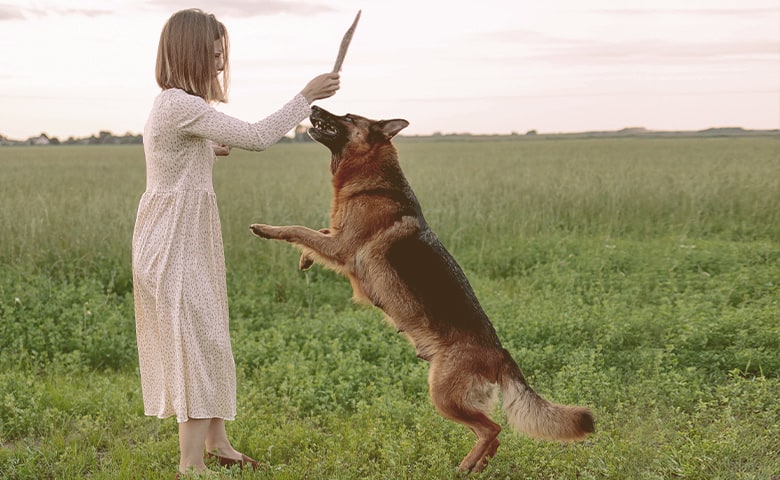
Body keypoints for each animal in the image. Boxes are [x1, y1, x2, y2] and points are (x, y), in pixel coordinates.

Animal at [253, 106, 596, 472]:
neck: (370, 179)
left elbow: (298, 229)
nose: (313, 107)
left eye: (347, 116)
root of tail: (501, 354)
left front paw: (266, 229)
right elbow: (316, 231)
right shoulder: (337, 239)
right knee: (493, 434)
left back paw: (465, 466)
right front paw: (304, 258)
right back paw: (477, 466)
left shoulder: (342, 247)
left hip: (443, 396)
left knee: (493, 428)